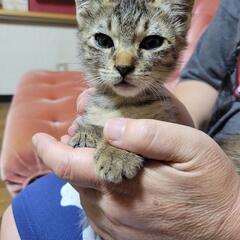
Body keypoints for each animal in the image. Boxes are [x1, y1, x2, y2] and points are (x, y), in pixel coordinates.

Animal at [69, 0, 195, 183]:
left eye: (152, 42)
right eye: (103, 40)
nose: (123, 68)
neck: (122, 103)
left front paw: (117, 154)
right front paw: (87, 132)